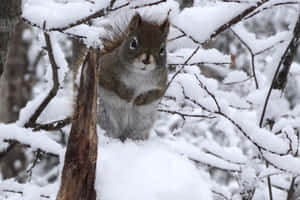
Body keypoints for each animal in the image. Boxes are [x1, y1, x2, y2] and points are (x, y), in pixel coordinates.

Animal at [97, 13, 170, 141]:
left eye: (162, 49)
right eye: (133, 43)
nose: (146, 60)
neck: (140, 75)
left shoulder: (160, 85)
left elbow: (153, 94)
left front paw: (139, 99)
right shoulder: (105, 71)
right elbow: (113, 85)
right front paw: (128, 95)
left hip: (142, 124)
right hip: (104, 116)